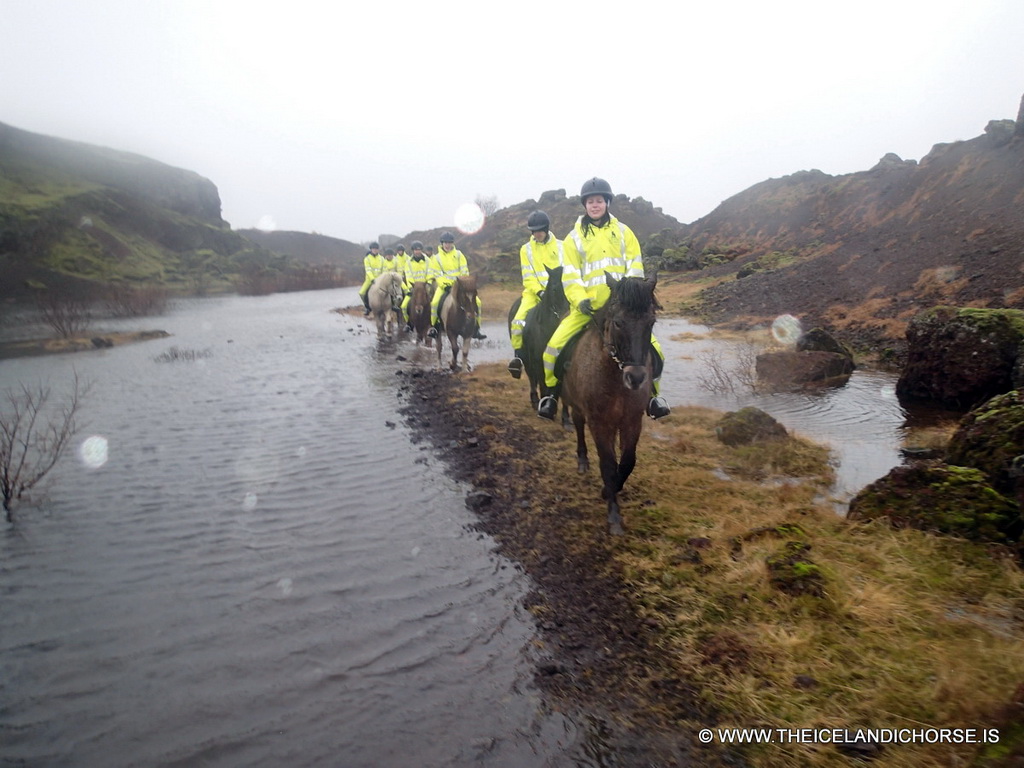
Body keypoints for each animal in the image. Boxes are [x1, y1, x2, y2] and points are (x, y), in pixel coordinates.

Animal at [561, 274, 655, 536]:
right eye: (618, 323)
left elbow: (627, 462)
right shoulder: (599, 423)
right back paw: (582, 461)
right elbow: (608, 464)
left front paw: (608, 491)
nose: (635, 378)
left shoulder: (632, 421)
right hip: (575, 404)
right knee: (578, 425)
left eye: (651, 322)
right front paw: (613, 514)